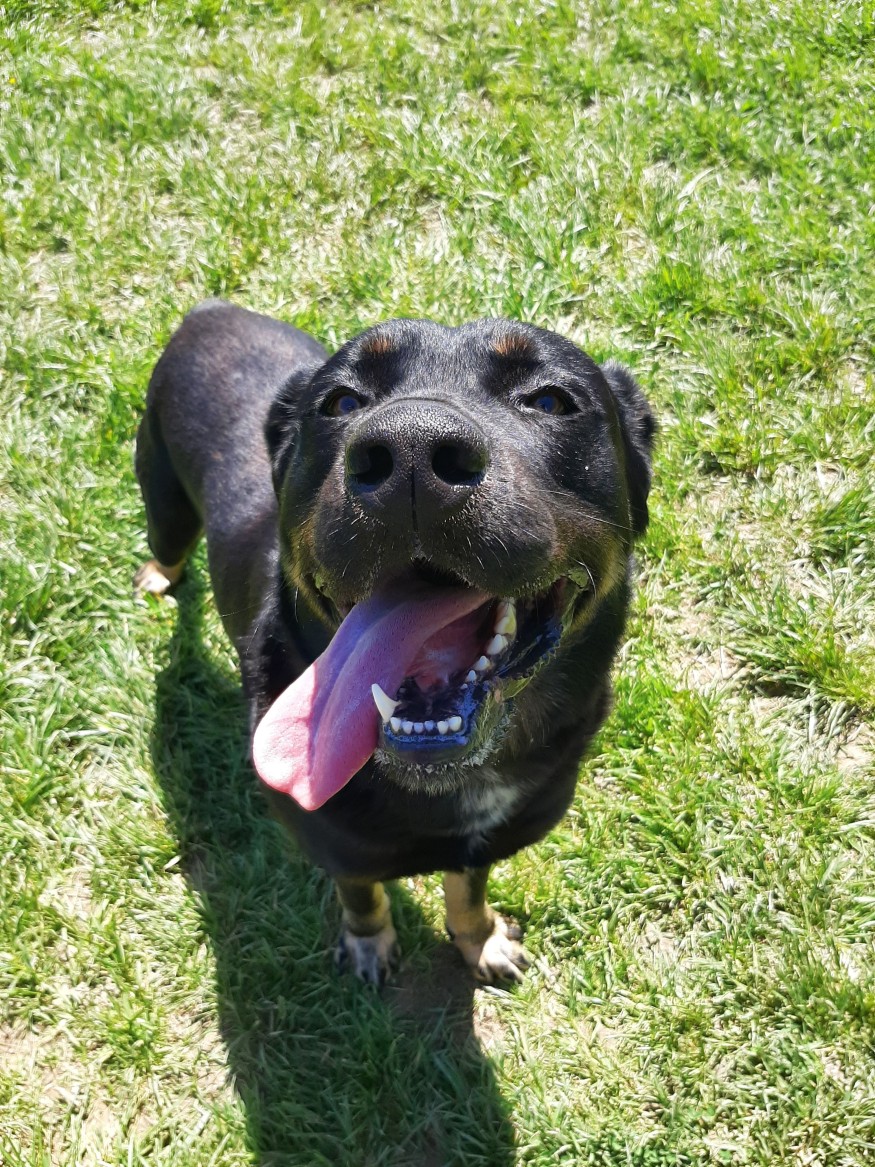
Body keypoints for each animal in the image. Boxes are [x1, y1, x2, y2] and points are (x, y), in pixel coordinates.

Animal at [134, 301, 655, 985]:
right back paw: (157, 577)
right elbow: (362, 895)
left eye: (549, 400)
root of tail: (208, 309)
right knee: (166, 546)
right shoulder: (338, 847)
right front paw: (368, 944)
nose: (411, 449)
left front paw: (479, 940)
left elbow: (468, 890)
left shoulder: (486, 843)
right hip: (164, 499)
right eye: (340, 402)